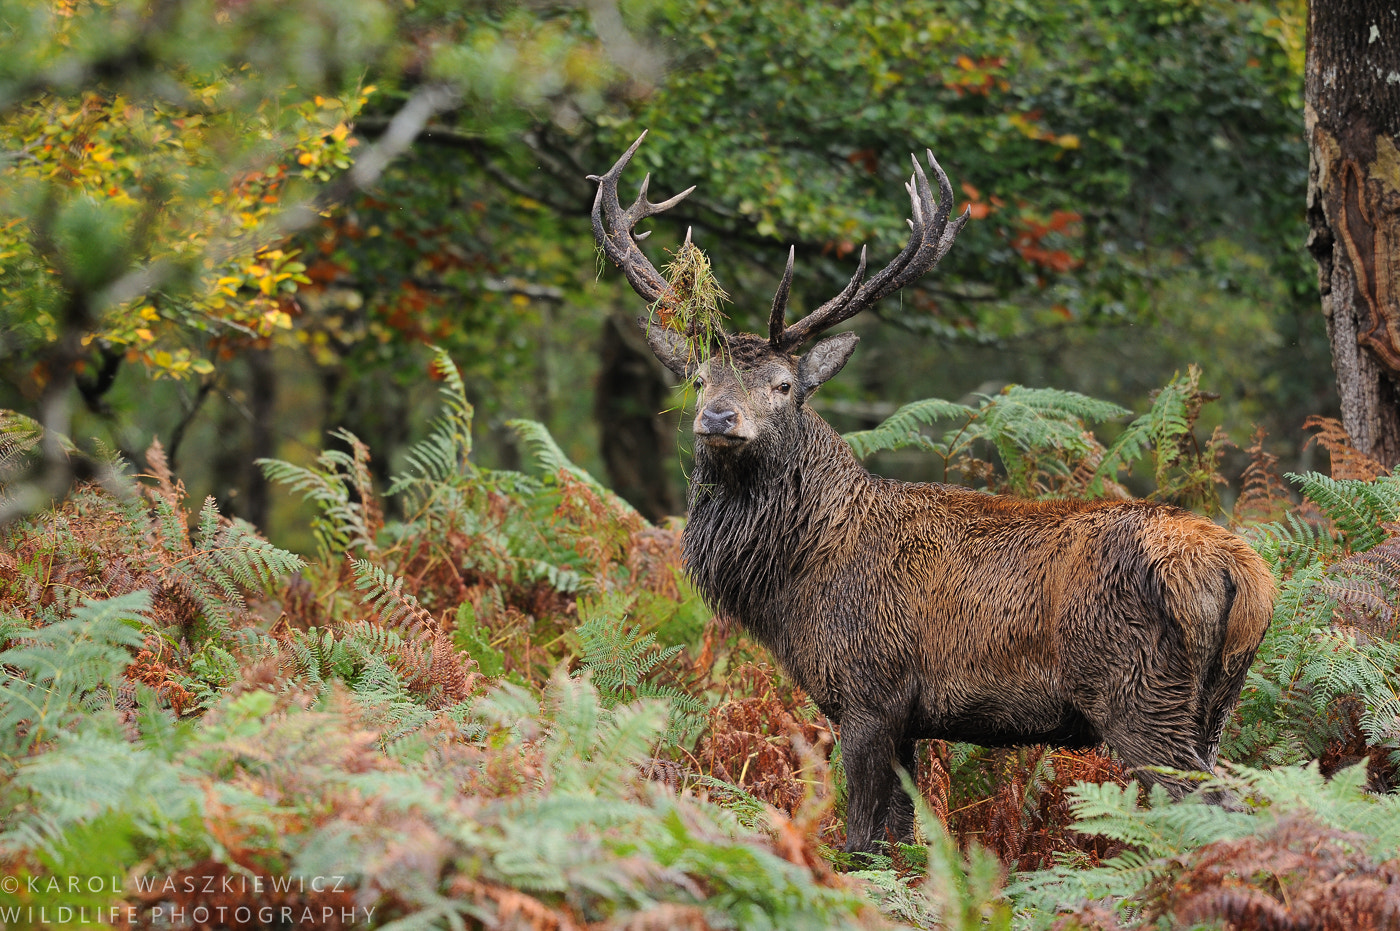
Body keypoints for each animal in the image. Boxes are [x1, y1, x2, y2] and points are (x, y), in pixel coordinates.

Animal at [588, 132, 1275, 857]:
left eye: (783, 384)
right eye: (697, 378)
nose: (719, 418)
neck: (792, 580)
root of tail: (1246, 573)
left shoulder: (868, 689)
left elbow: (862, 838)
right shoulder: (907, 716)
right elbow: (903, 836)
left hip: (1139, 693)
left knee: (1221, 808)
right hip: (1216, 703)